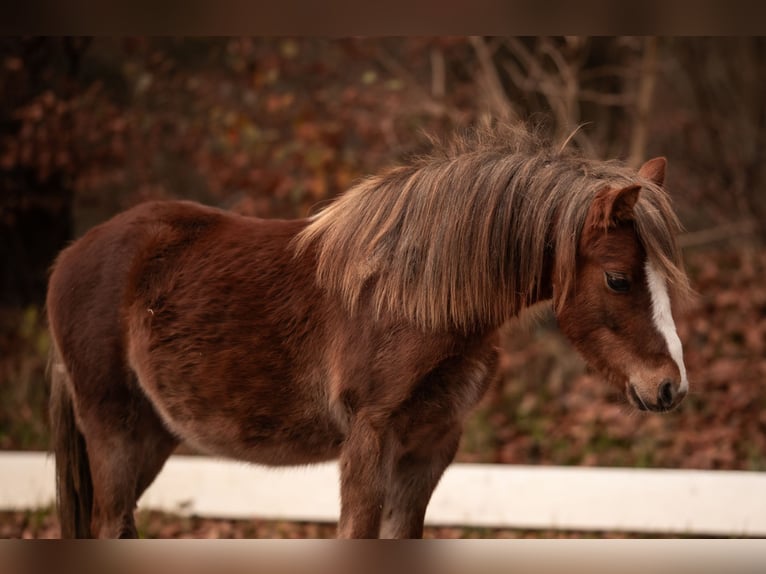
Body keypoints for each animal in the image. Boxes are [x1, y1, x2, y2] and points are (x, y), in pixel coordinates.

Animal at [46, 126, 692, 539]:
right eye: (617, 278)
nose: (670, 388)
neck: (409, 301)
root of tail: (71, 256)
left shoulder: (431, 447)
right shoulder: (368, 440)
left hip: (153, 436)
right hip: (113, 429)